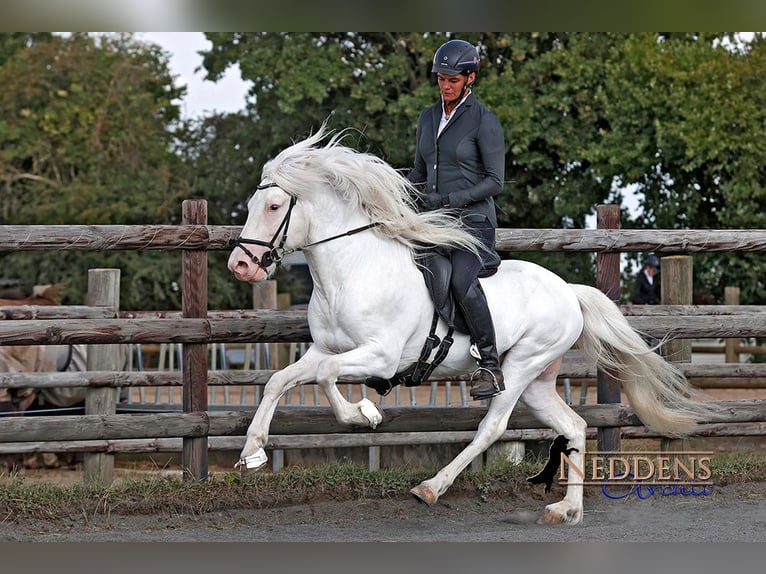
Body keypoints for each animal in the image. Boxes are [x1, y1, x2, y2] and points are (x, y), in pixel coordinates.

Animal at [226, 127, 713, 525]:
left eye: (274, 206)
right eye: (251, 204)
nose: (240, 265)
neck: (352, 270)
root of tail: (569, 291)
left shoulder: (380, 356)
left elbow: (327, 380)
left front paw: (364, 413)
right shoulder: (324, 350)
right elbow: (279, 381)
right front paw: (253, 452)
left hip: (519, 368)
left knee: (492, 429)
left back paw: (430, 488)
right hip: (538, 380)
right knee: (573, 426)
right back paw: (565, 510)